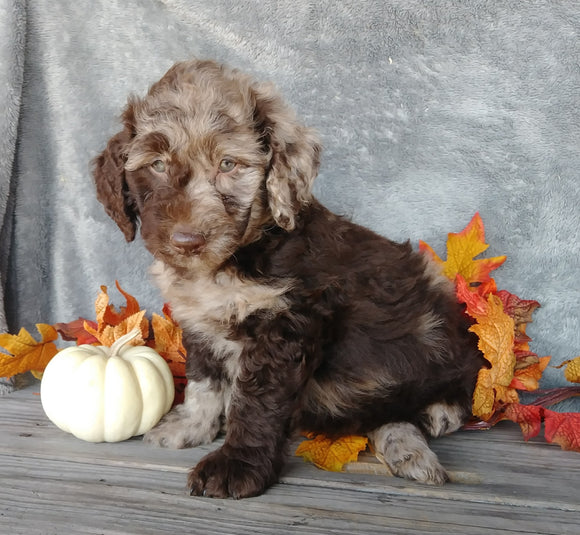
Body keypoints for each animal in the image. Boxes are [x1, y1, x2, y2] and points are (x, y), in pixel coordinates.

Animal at [94, 60, 484, 500]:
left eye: (228, 164)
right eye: (157, 164)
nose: (187, 240)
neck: (231, 261)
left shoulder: (287, 325)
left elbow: (255, 403)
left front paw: (235, 466)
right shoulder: (199, 323)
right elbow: (204, 381)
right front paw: (190, 426)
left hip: (436, 333)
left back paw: (436, 416)